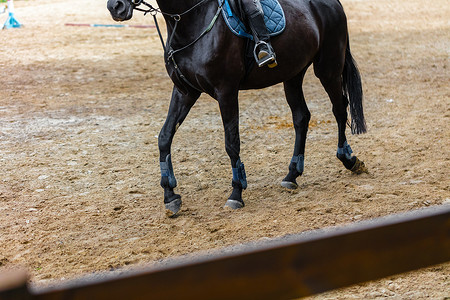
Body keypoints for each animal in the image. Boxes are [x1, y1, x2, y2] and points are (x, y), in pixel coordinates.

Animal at [107, 0, 368, 217]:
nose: (115, 7)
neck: (191, 20)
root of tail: (333, 3)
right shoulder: (185, 92)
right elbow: (164, 137)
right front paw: (170, 196)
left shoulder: (226, 92)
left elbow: (232, 143)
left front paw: (236, 193)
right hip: (293, 74)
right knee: (301, 117)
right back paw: (292, 175)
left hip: (328, 68)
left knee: (339, 109)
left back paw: (349, 158)